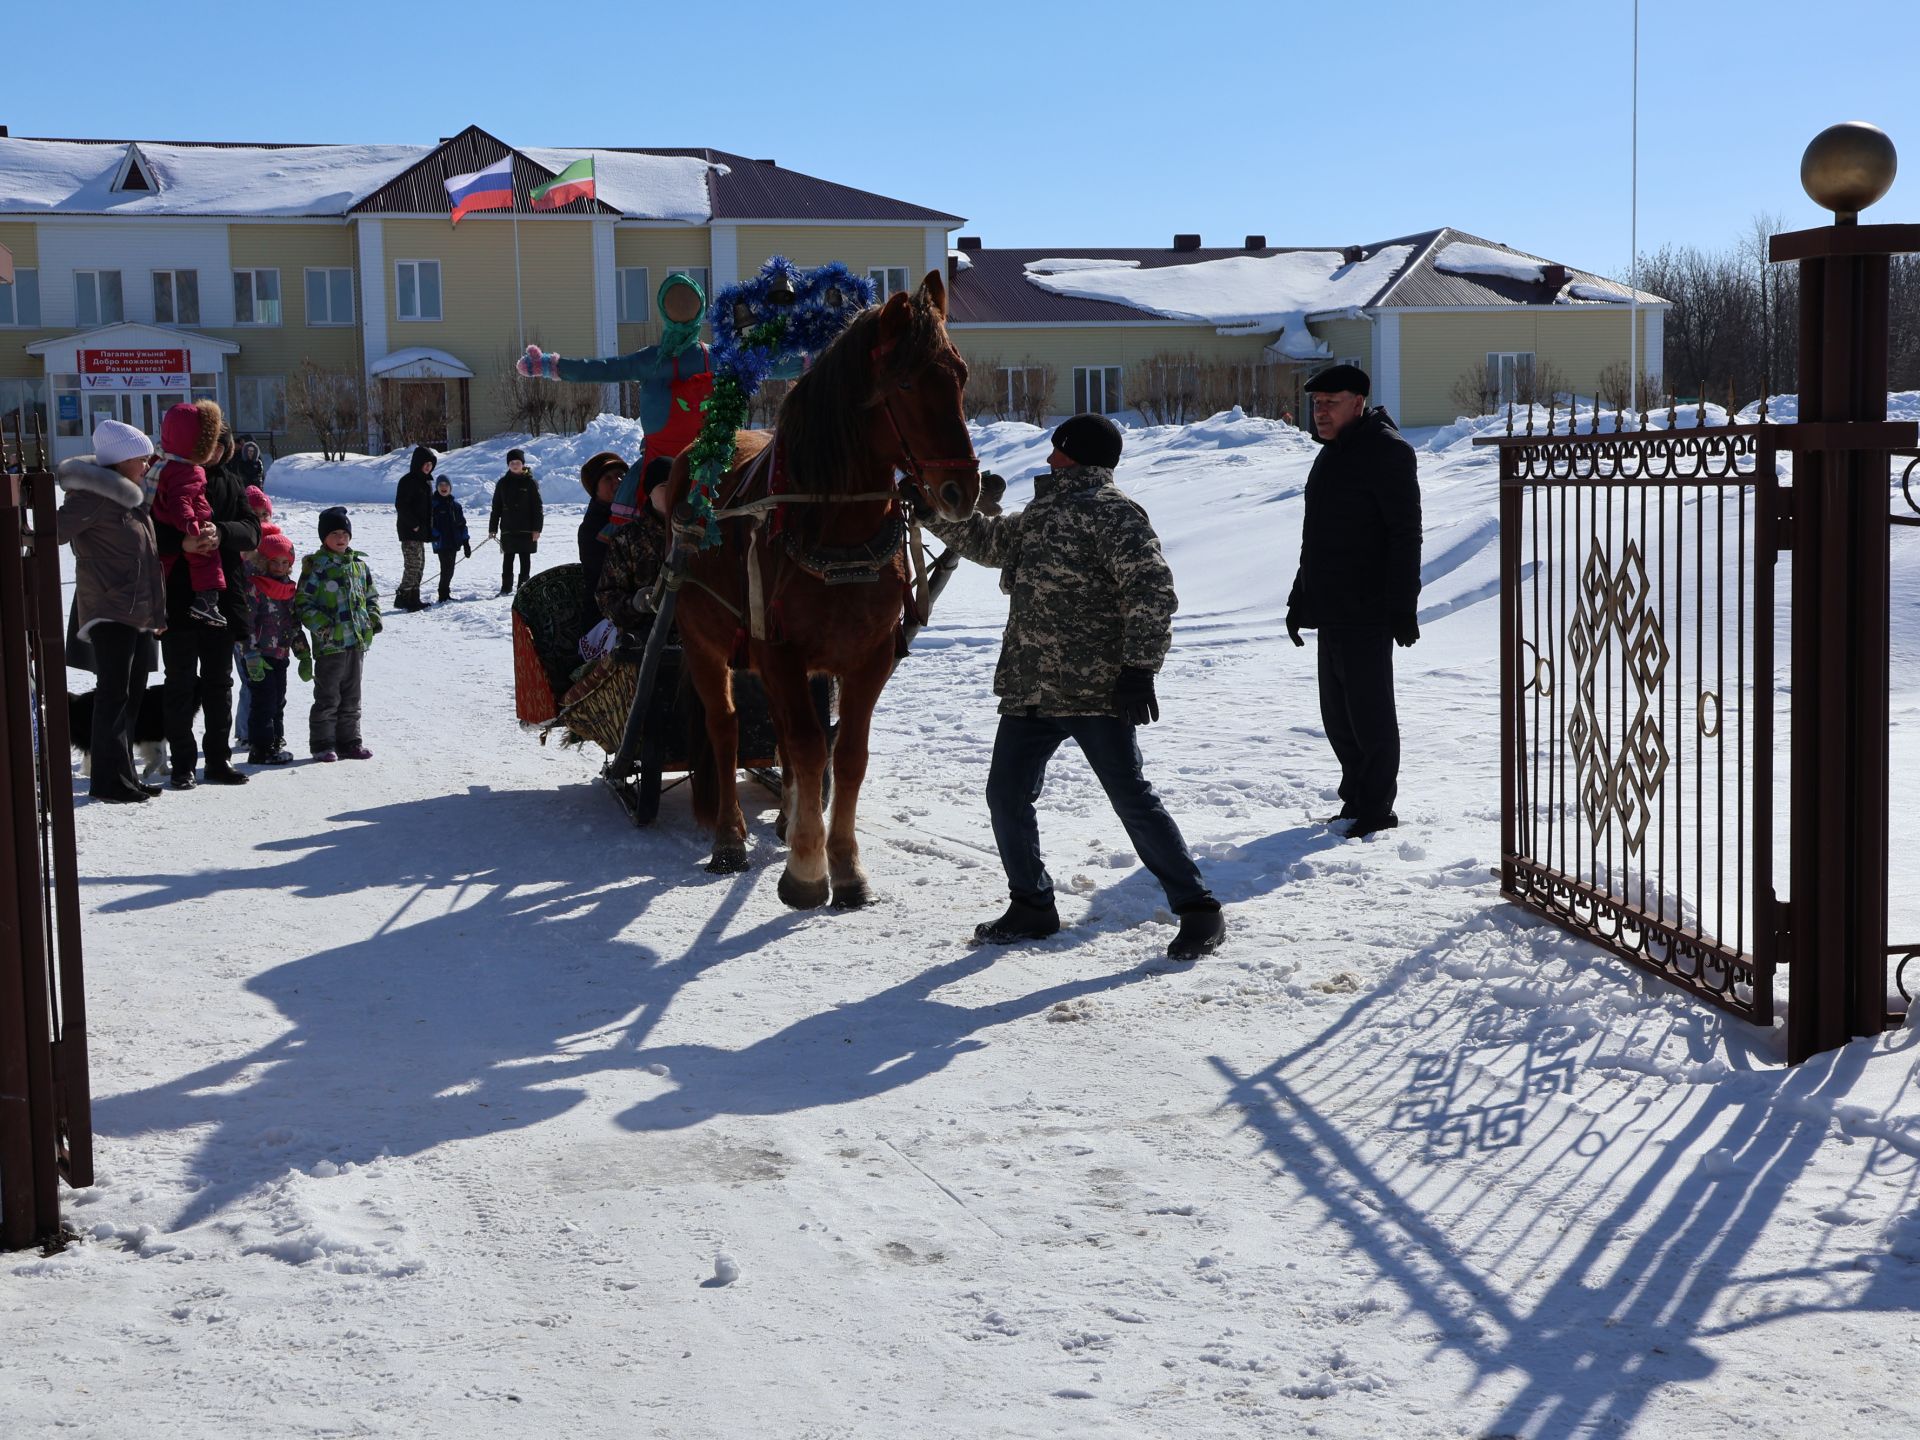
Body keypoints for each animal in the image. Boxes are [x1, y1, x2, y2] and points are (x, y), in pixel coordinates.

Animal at [668, 270, 983, 906]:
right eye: (906, 382)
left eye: (960, 375)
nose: (963, 490)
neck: (836, 530)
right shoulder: (781, 651)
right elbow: (812, 747)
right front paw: (808, 870)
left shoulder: (869, 656)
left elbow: (847, 754)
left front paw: (844, 863)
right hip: (702, 639)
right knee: (726, 728)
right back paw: (730, 838)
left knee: (786, 736)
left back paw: (789, 817)